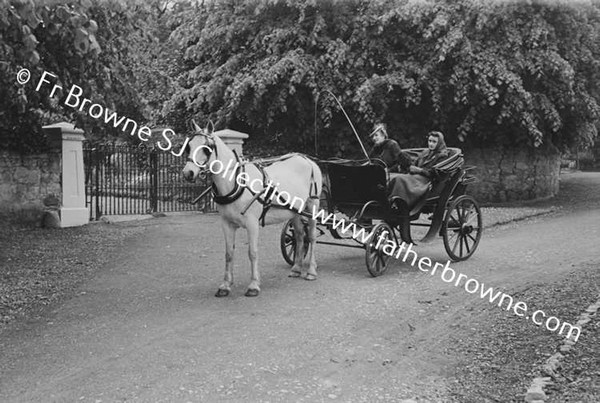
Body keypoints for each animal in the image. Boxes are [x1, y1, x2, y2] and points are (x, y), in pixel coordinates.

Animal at [183, 123, 324, 296]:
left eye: (206, 148)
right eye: (188, 147)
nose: (188, 173)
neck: (237, 182)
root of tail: (307, 160)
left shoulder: (252, 224)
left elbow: (252, 252)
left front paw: (254, 285)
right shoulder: (226, 224)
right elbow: (229, 254)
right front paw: (225, 285)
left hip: (312, 206)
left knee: (311, 237)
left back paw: (311, 271)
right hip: (295, 211)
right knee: (299, 236)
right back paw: (296, 268)